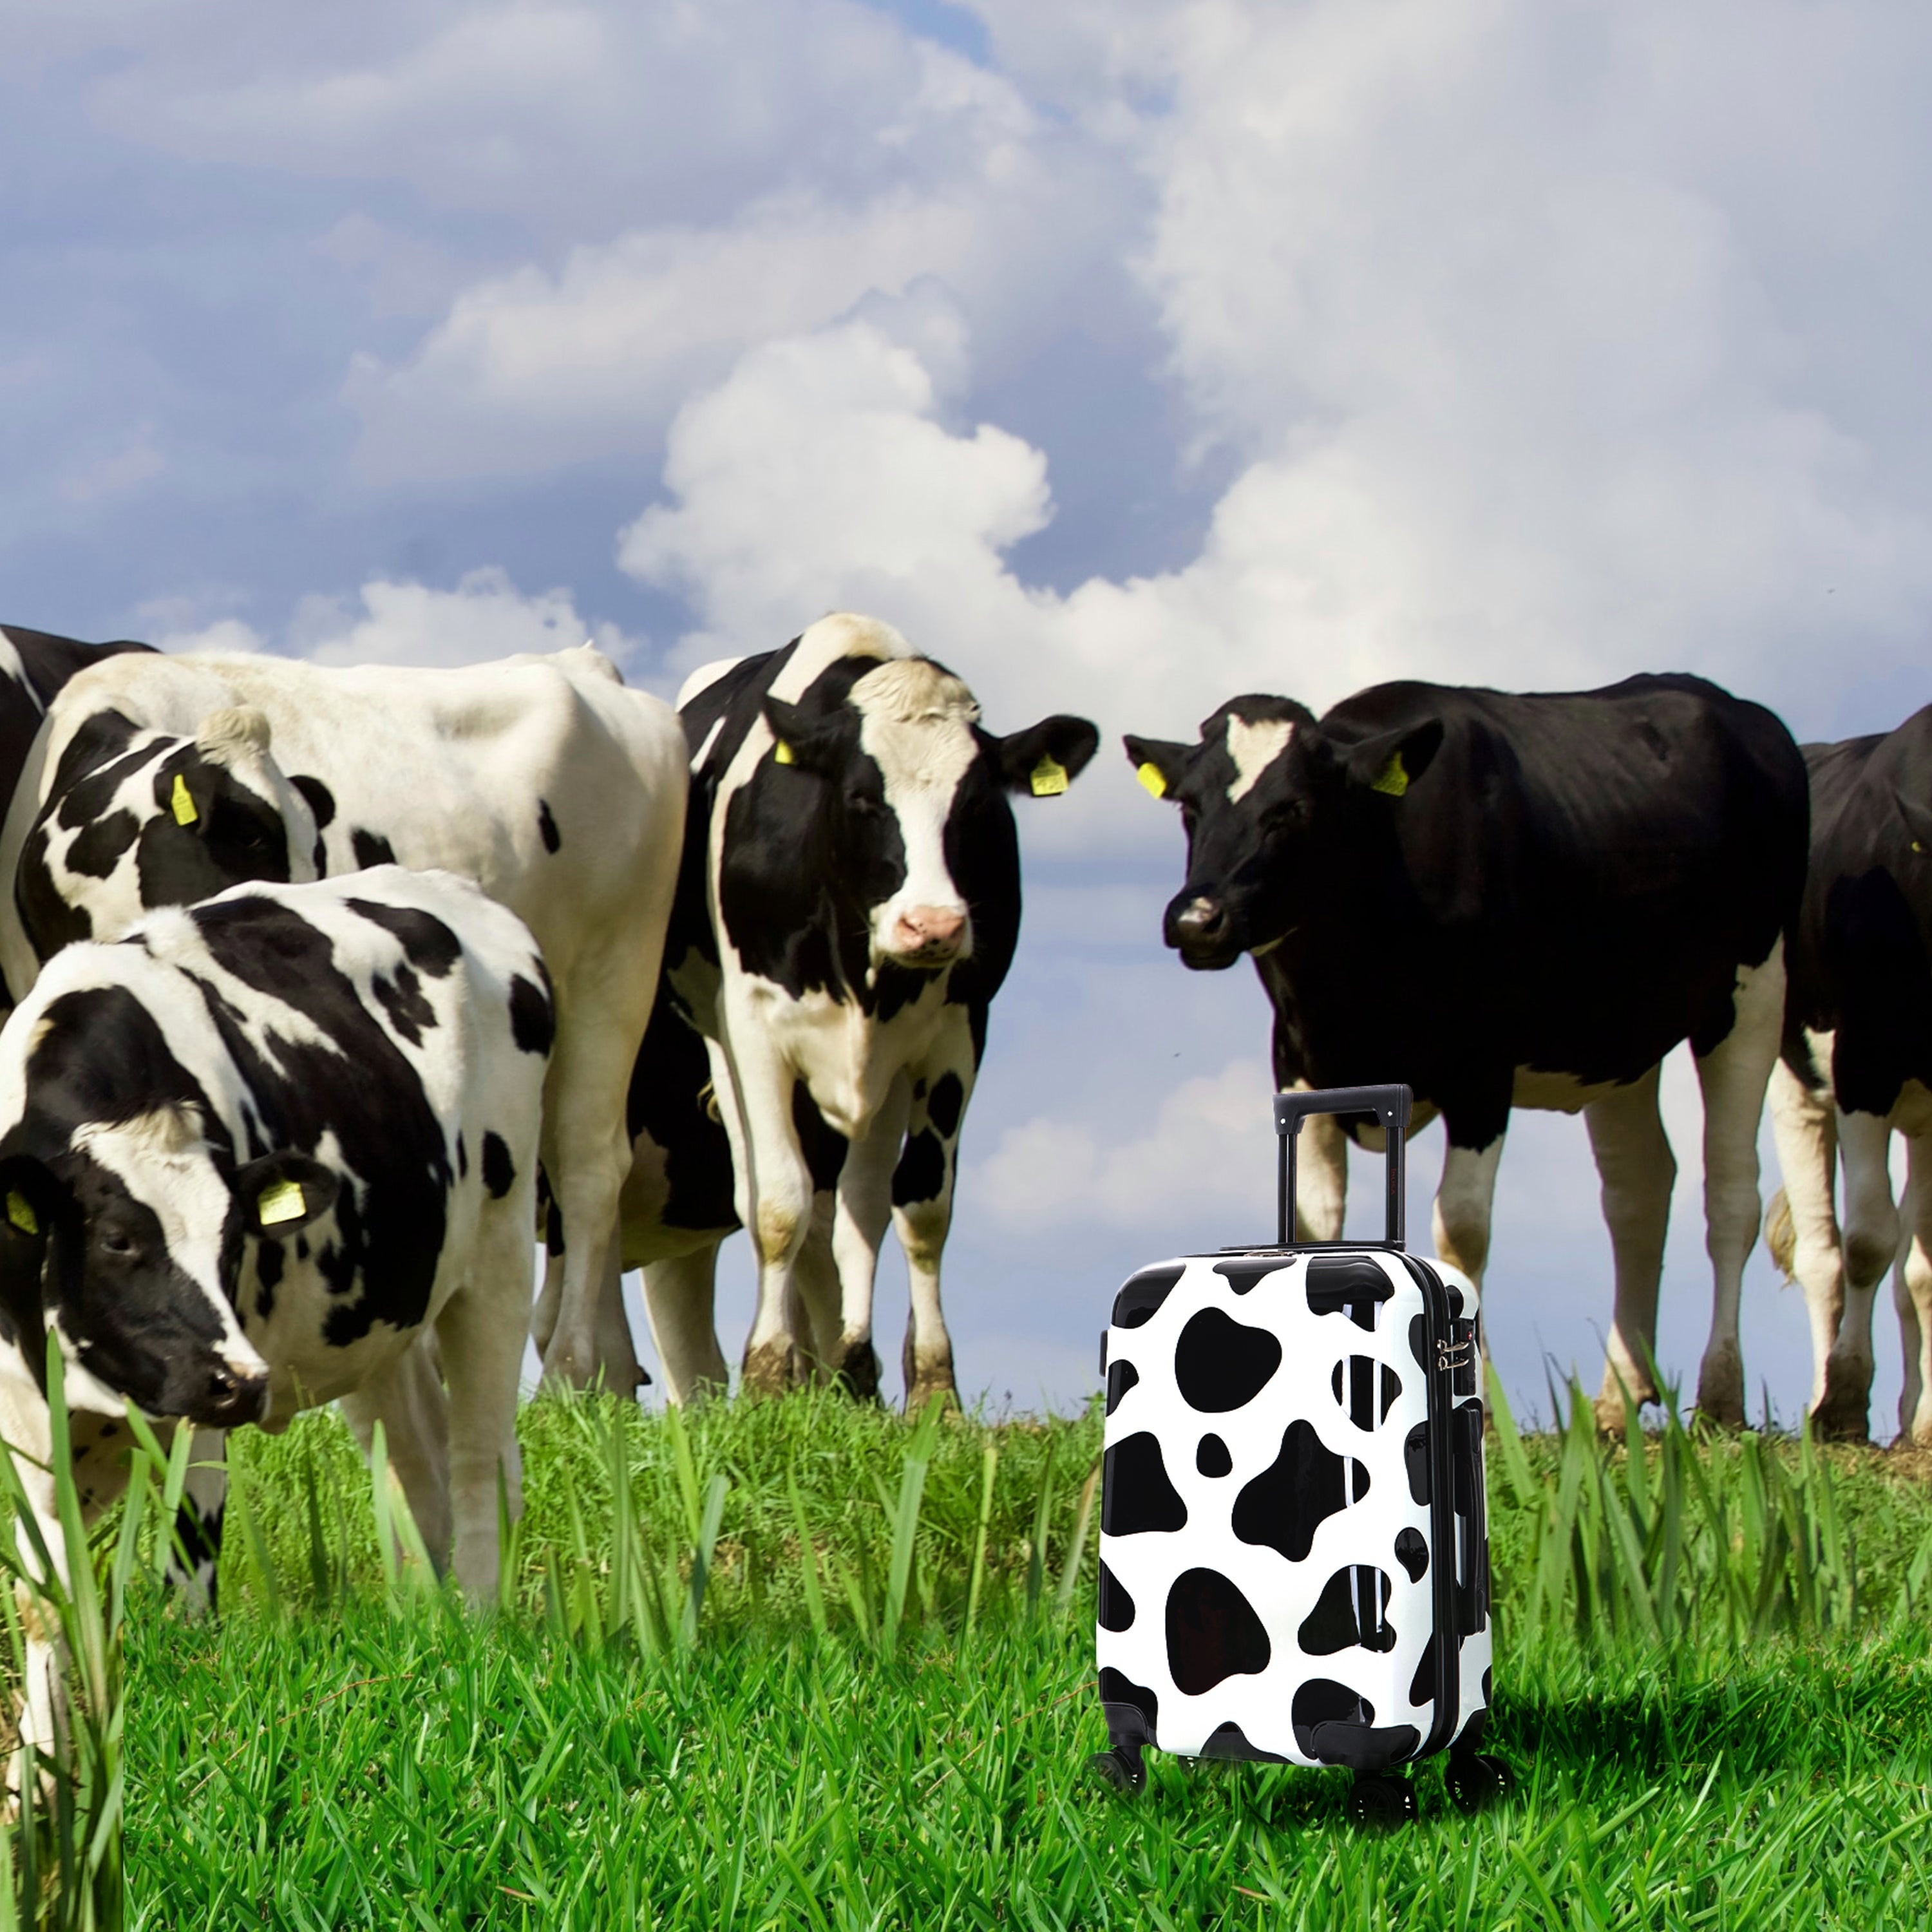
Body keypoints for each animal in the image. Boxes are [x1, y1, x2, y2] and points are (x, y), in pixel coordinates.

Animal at [0, 645, 687, 1393]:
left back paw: (575, 1369)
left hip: (613, 974)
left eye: (318, 847)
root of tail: (579, 662)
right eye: (251, 833)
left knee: (588, 1170)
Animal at [0, 865, 548, 1774]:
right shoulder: (24, 1420)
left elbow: (187, 1575)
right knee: (417, 1465)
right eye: (118, 1239)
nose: (242, 1381)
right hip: (376, 1325)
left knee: (480, 1459)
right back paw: (429, 1624)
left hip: (500, 1252)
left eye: (235, 1241)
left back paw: (479, 1628)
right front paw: (37, 1782)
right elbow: (45, 1600)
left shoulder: (197, 1413)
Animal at [601, 612, 1098, 1405]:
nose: (933, 925)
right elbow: (778, 1205)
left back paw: (850, 1366)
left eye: (976, 804)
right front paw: (769, 1373)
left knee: (855, 1208)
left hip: (881, 1079)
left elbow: (920, 1208)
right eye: (864, 798)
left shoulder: (958, 1034)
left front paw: (931, 1389)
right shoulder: (754, 1030)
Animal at [1125, 674, 1809, 1428]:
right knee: (1639, 1190)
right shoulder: (1299, 1064)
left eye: (1292, 809)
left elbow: (1462, 1229)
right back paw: (1619, 1396)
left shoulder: (1482, 1070)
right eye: (1190, 806)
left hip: (1754, 992)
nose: (1197, 919)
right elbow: (1314, 1225)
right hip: (1623, 1034)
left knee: (1732, 1191)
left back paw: (1721, 1392)